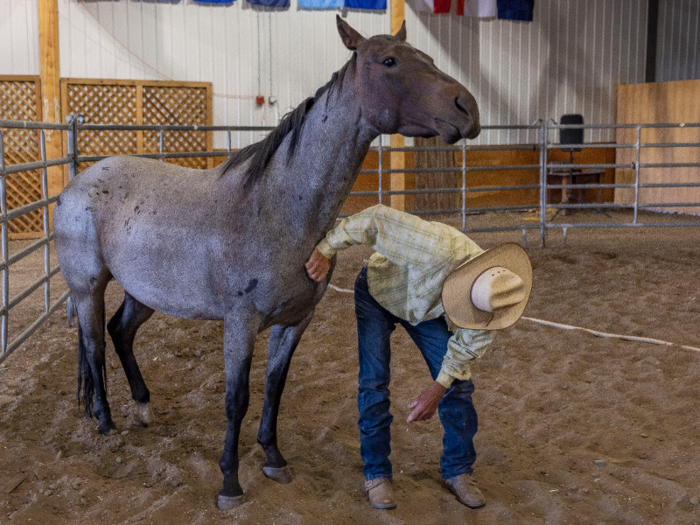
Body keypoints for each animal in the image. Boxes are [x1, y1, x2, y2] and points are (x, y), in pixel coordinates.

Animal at [53, 15, 482, 508]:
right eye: (389, 61)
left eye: (428, 57)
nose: (467, 107)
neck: (275, 207)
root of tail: (76, 183)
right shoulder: (240, 323)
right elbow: (236, 398)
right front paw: (229, 483)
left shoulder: (295, 321)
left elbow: (274, 387)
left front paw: (273, 458)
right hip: (88, 289)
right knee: (93, 345)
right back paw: (105, 421)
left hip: (146, 292)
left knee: (119, 332)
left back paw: (143, 406)